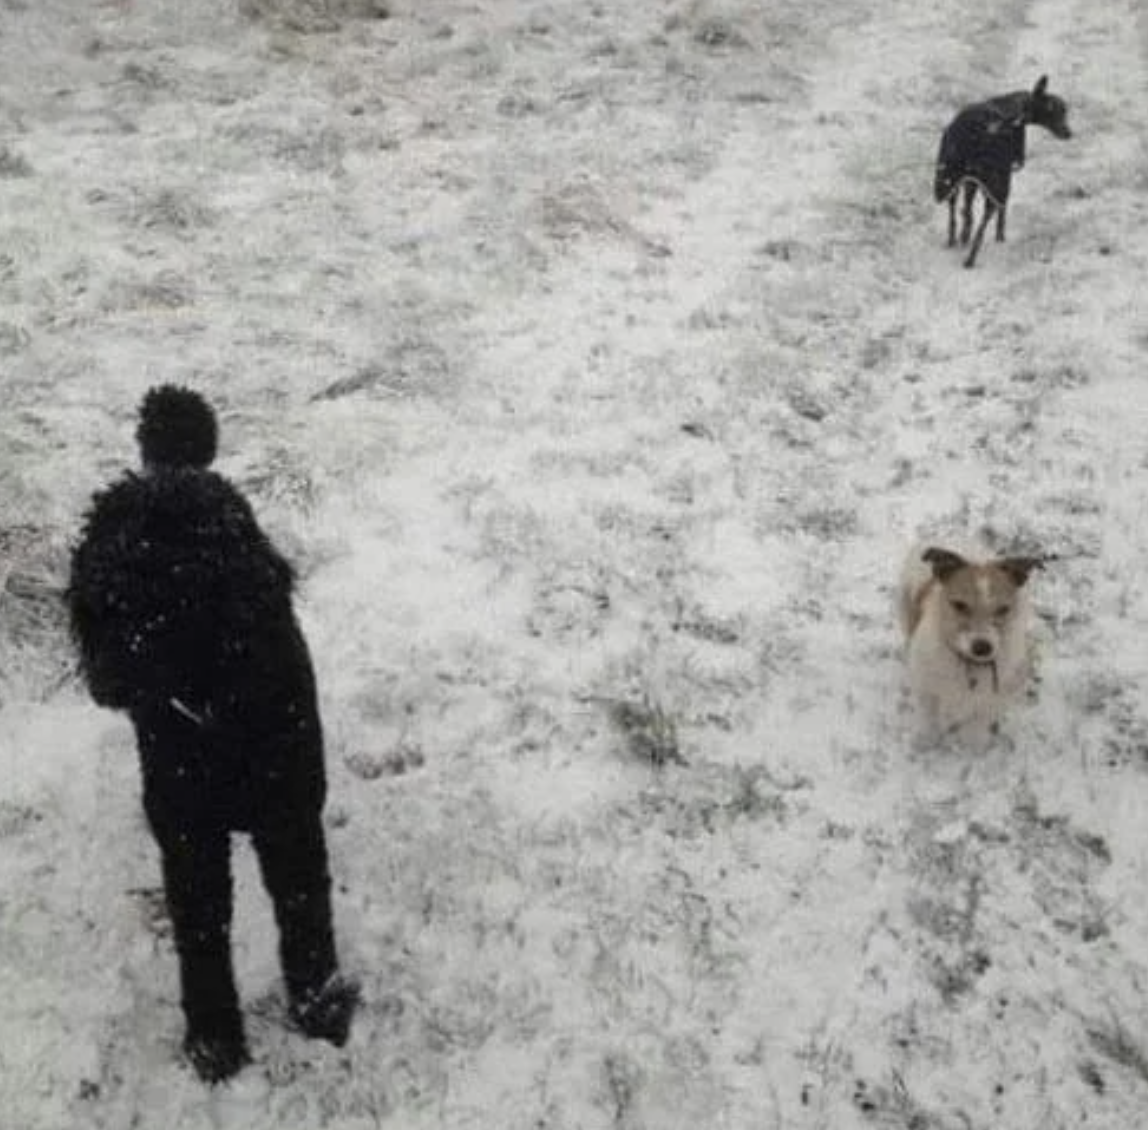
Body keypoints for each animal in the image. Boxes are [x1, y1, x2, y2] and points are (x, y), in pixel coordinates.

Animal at [67, 388, 358, 1084]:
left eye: (170, 595)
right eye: (99, 594)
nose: (104, 676)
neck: (220, 712)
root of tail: (176, 468)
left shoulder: (288, 818)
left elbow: (304, 916)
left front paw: (321, 1012)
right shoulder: (190, 835)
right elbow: (200, 938)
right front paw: (215, 1040)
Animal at [900, 544, 1046, 744]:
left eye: (1003, 609)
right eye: (959, 605)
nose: (982, 648)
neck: (970, 666)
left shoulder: (993, 700)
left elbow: (976, 728)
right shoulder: (926, 689)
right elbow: (928, 719)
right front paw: (925, 740)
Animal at [936, 75, 1069, 268]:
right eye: (1053, 110)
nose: (1069, 133)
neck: (1011, 109)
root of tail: (972, 140)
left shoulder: (971, 179)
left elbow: (967, 208)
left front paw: (964, 234)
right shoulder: (1005, 174)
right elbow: (1002, 208)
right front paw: (999, 235)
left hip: (949, 176)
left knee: (954, 208)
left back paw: (954, 239)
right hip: (994, 181)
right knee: (986, 218)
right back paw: (971, 257)